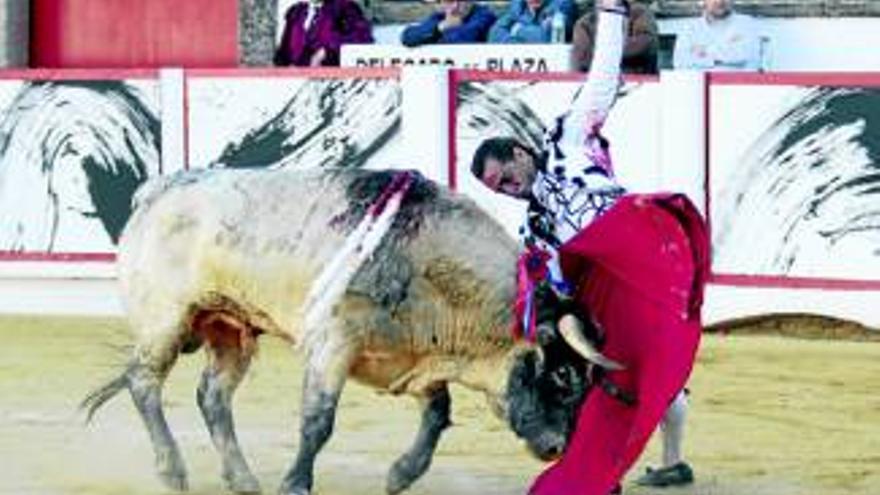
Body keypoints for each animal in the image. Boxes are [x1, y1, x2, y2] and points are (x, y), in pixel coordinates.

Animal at [82, 169, 604, 495]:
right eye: (562, 377)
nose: (557, 448)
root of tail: (157, 190)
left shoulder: (420, 359)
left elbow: (437, 415)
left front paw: (401, 475)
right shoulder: (333, 344)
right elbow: (318, 421)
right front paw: (296, 484)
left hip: (228, 329)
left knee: (212, 397)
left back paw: (242, 478)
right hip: (165, 321)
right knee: (145, 383)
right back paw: (172, 470)